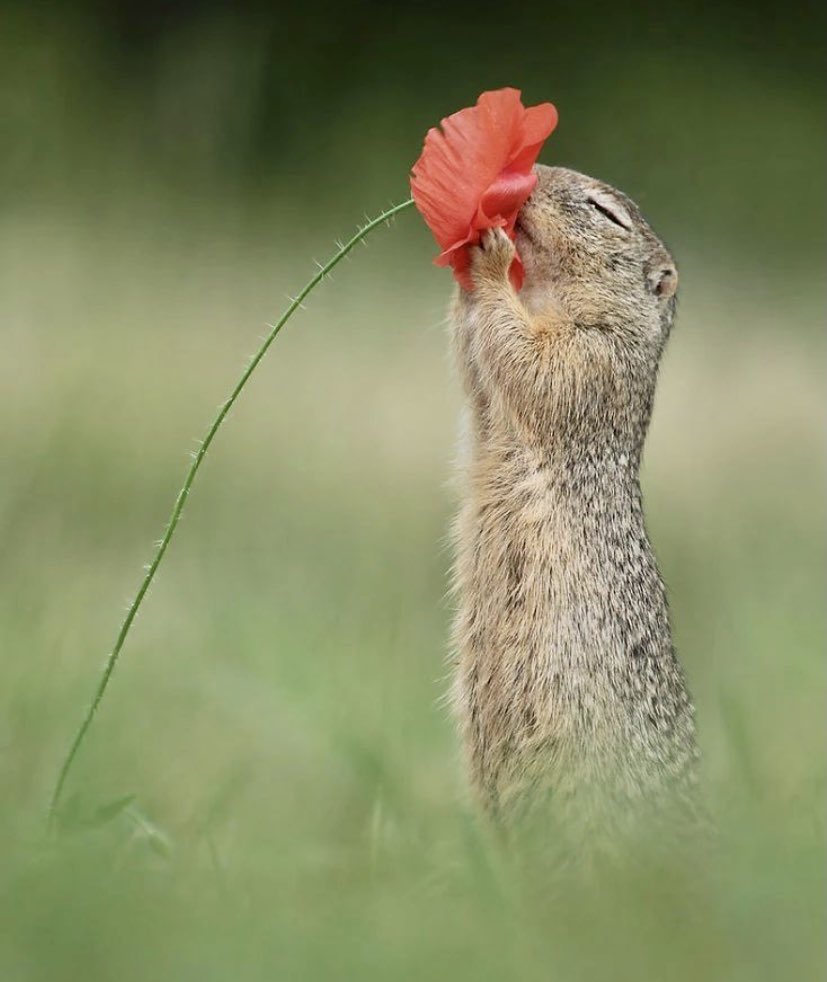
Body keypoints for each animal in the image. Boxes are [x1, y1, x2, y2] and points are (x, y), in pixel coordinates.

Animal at [452, 165, 700, 848]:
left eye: (604, 212)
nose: (530, 175)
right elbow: (478, 374)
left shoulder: (593, 359)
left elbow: (531, 363)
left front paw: (490, 260)